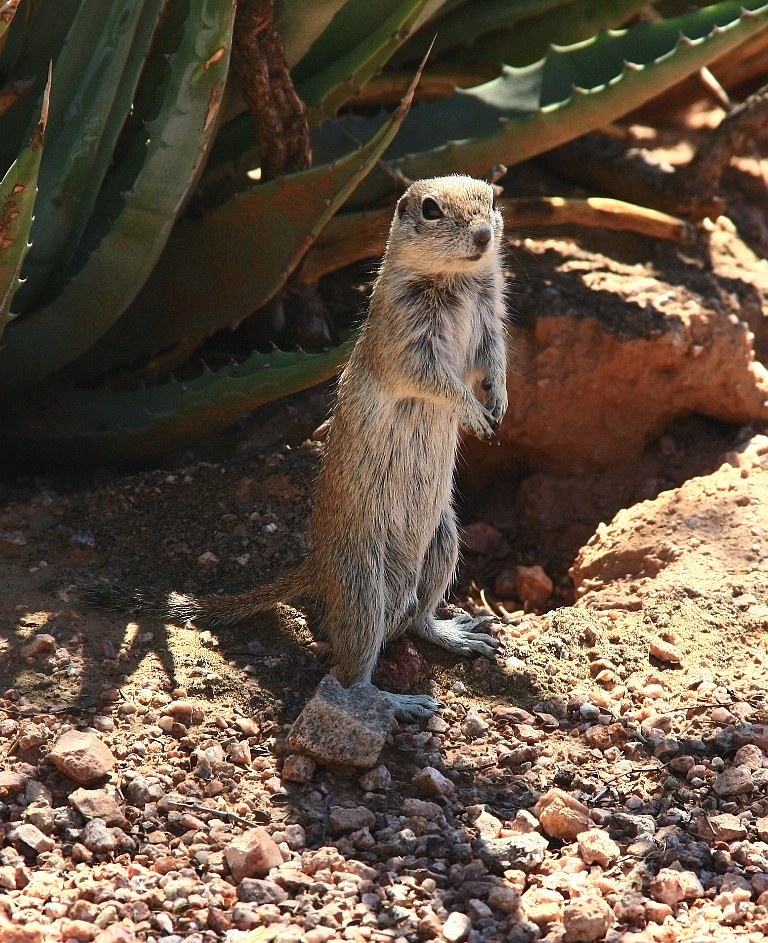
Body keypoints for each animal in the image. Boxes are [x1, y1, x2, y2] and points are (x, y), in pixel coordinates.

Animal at [85, 175, 510, 724]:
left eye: (493, 199)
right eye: (432, 210)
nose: (483, 236)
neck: (456, 282)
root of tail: (319, 566)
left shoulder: (489, 320)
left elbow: (493, 360)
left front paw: (499, 402)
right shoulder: (408, 343)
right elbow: (437, 379)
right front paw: (474, 413)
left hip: (443, 545)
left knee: (417, 620)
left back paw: (456, 634)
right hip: (363, 588)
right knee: (349, 677)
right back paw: (400, 702)